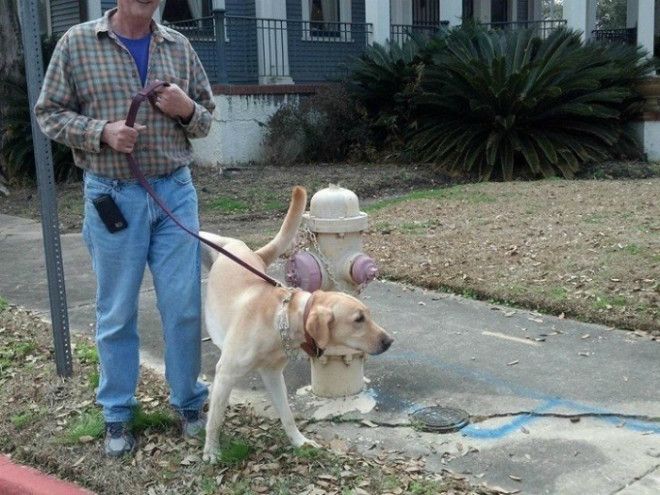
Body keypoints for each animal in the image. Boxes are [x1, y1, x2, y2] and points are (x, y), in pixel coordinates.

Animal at [199, 187, 390, 464]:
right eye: (358, 320)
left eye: (368, 315)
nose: (389, 341)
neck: (282, 319)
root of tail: (251, 252)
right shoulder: (225, 374)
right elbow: (215, 418)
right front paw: (212, 450)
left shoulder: (272, 375)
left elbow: (287, 415)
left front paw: (299, 442)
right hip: (220, 243)